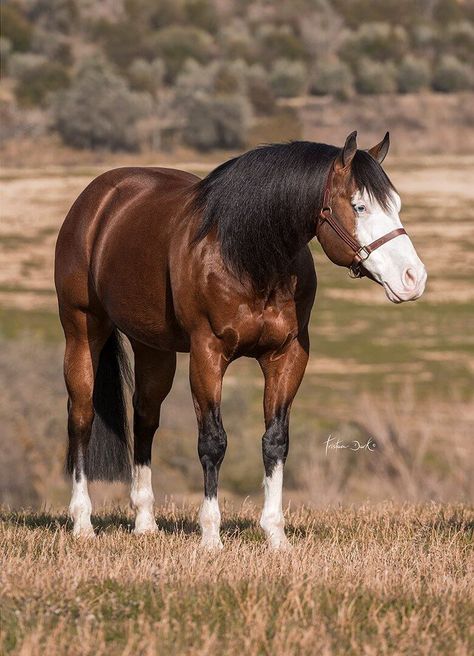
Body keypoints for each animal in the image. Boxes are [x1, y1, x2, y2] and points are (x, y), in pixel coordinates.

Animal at [54, 129, 426, 548]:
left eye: (396, 205)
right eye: (360, 206)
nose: (413, 278)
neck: (247, 257)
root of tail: (98, 198)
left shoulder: (287, 355)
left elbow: (275, 440)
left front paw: (276, 535)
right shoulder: (207, 353)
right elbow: (213, 441)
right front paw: (211, 536)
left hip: (154, 347)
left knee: (145, 416)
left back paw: (145, 521)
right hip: (82, 330)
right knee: (81, 417)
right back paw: (83, 523)